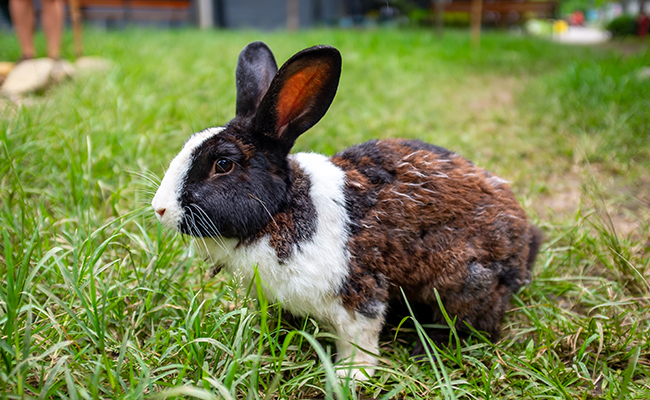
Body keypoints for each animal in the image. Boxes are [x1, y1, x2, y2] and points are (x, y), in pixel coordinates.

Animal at [152, 41, 540, 382]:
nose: (160, 208)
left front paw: (350, 375)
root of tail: (524, 241)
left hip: (464, 278)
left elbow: (360, 339)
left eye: (223, 164)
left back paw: (428, 348)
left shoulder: (357, 295)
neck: (281, 210)